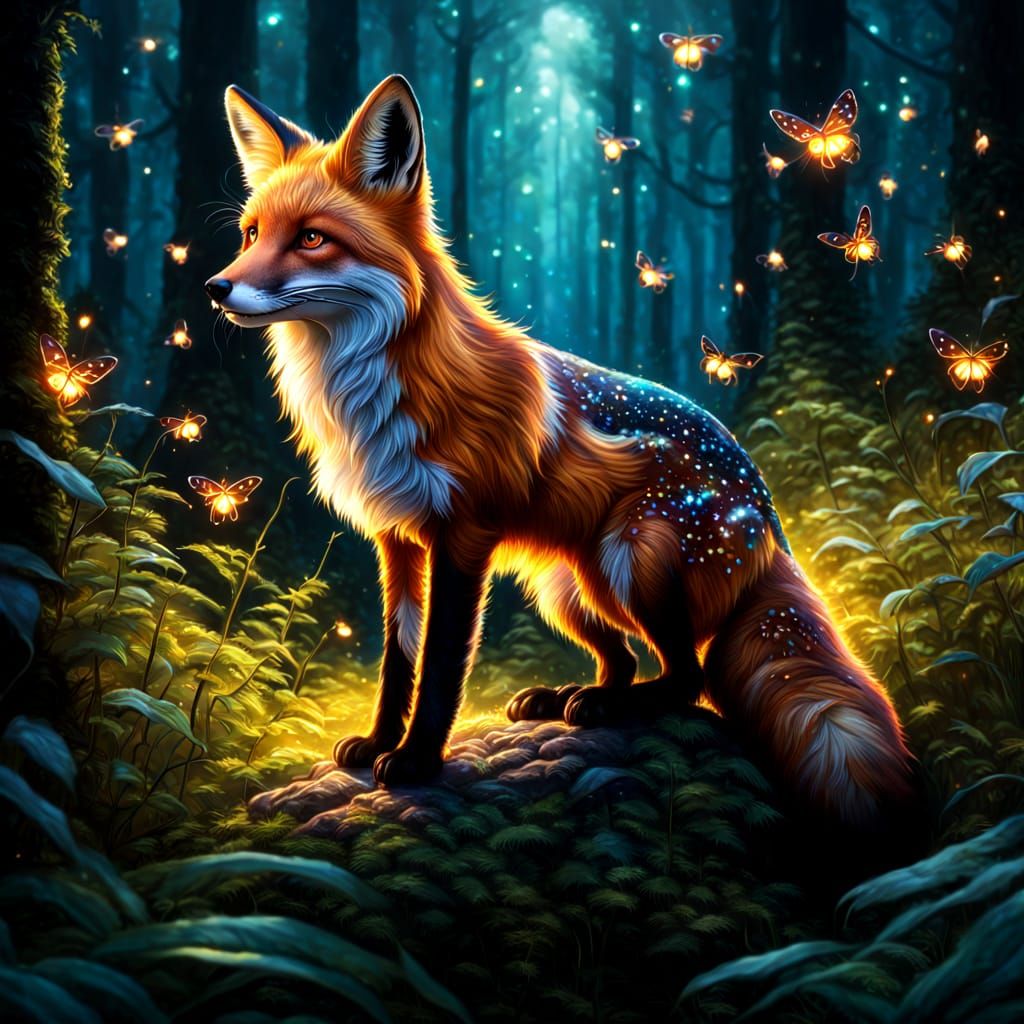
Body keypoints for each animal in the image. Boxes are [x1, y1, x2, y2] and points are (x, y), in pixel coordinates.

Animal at [206, 75, 918, 831]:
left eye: (311, 238)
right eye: (251, 234)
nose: (216, 288)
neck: (372, 396)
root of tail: (770, 514)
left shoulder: (463, 537)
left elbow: (441, 664)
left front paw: (417, 760)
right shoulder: (396, 540)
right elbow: (399, 661)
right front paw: (377, 742)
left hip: (633, 558)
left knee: (688, 677)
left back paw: (609, 706)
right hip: (566, 588)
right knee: (627, 660)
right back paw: (571, 697)